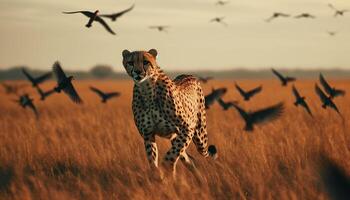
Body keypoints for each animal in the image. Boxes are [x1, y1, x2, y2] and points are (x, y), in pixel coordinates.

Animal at [121, 48, 217, 180]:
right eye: (130, 62)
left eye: (145, 62)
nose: (138, 71)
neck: (147, 90)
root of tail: (187, 75)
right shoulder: (148, 134)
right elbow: (152, 157)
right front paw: (157, 174)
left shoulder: (187, 128)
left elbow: (171, 154)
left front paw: (164, 167)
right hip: (176, 136)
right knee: (186, 157)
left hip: (200, 137)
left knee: (195, 151)